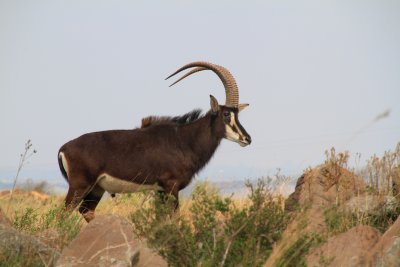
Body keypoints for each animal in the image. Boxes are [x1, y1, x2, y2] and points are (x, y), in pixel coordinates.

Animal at [57, 61, 250, 223]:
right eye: (226, 114)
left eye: (237, 114)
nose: (247, 139)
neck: (184, 139)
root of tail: (63, 148)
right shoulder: (171, 186)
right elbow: (174, 218)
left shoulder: (160, 190)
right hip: (80, 186)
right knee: (64, 213)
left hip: (96, 189)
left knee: (85, 211)